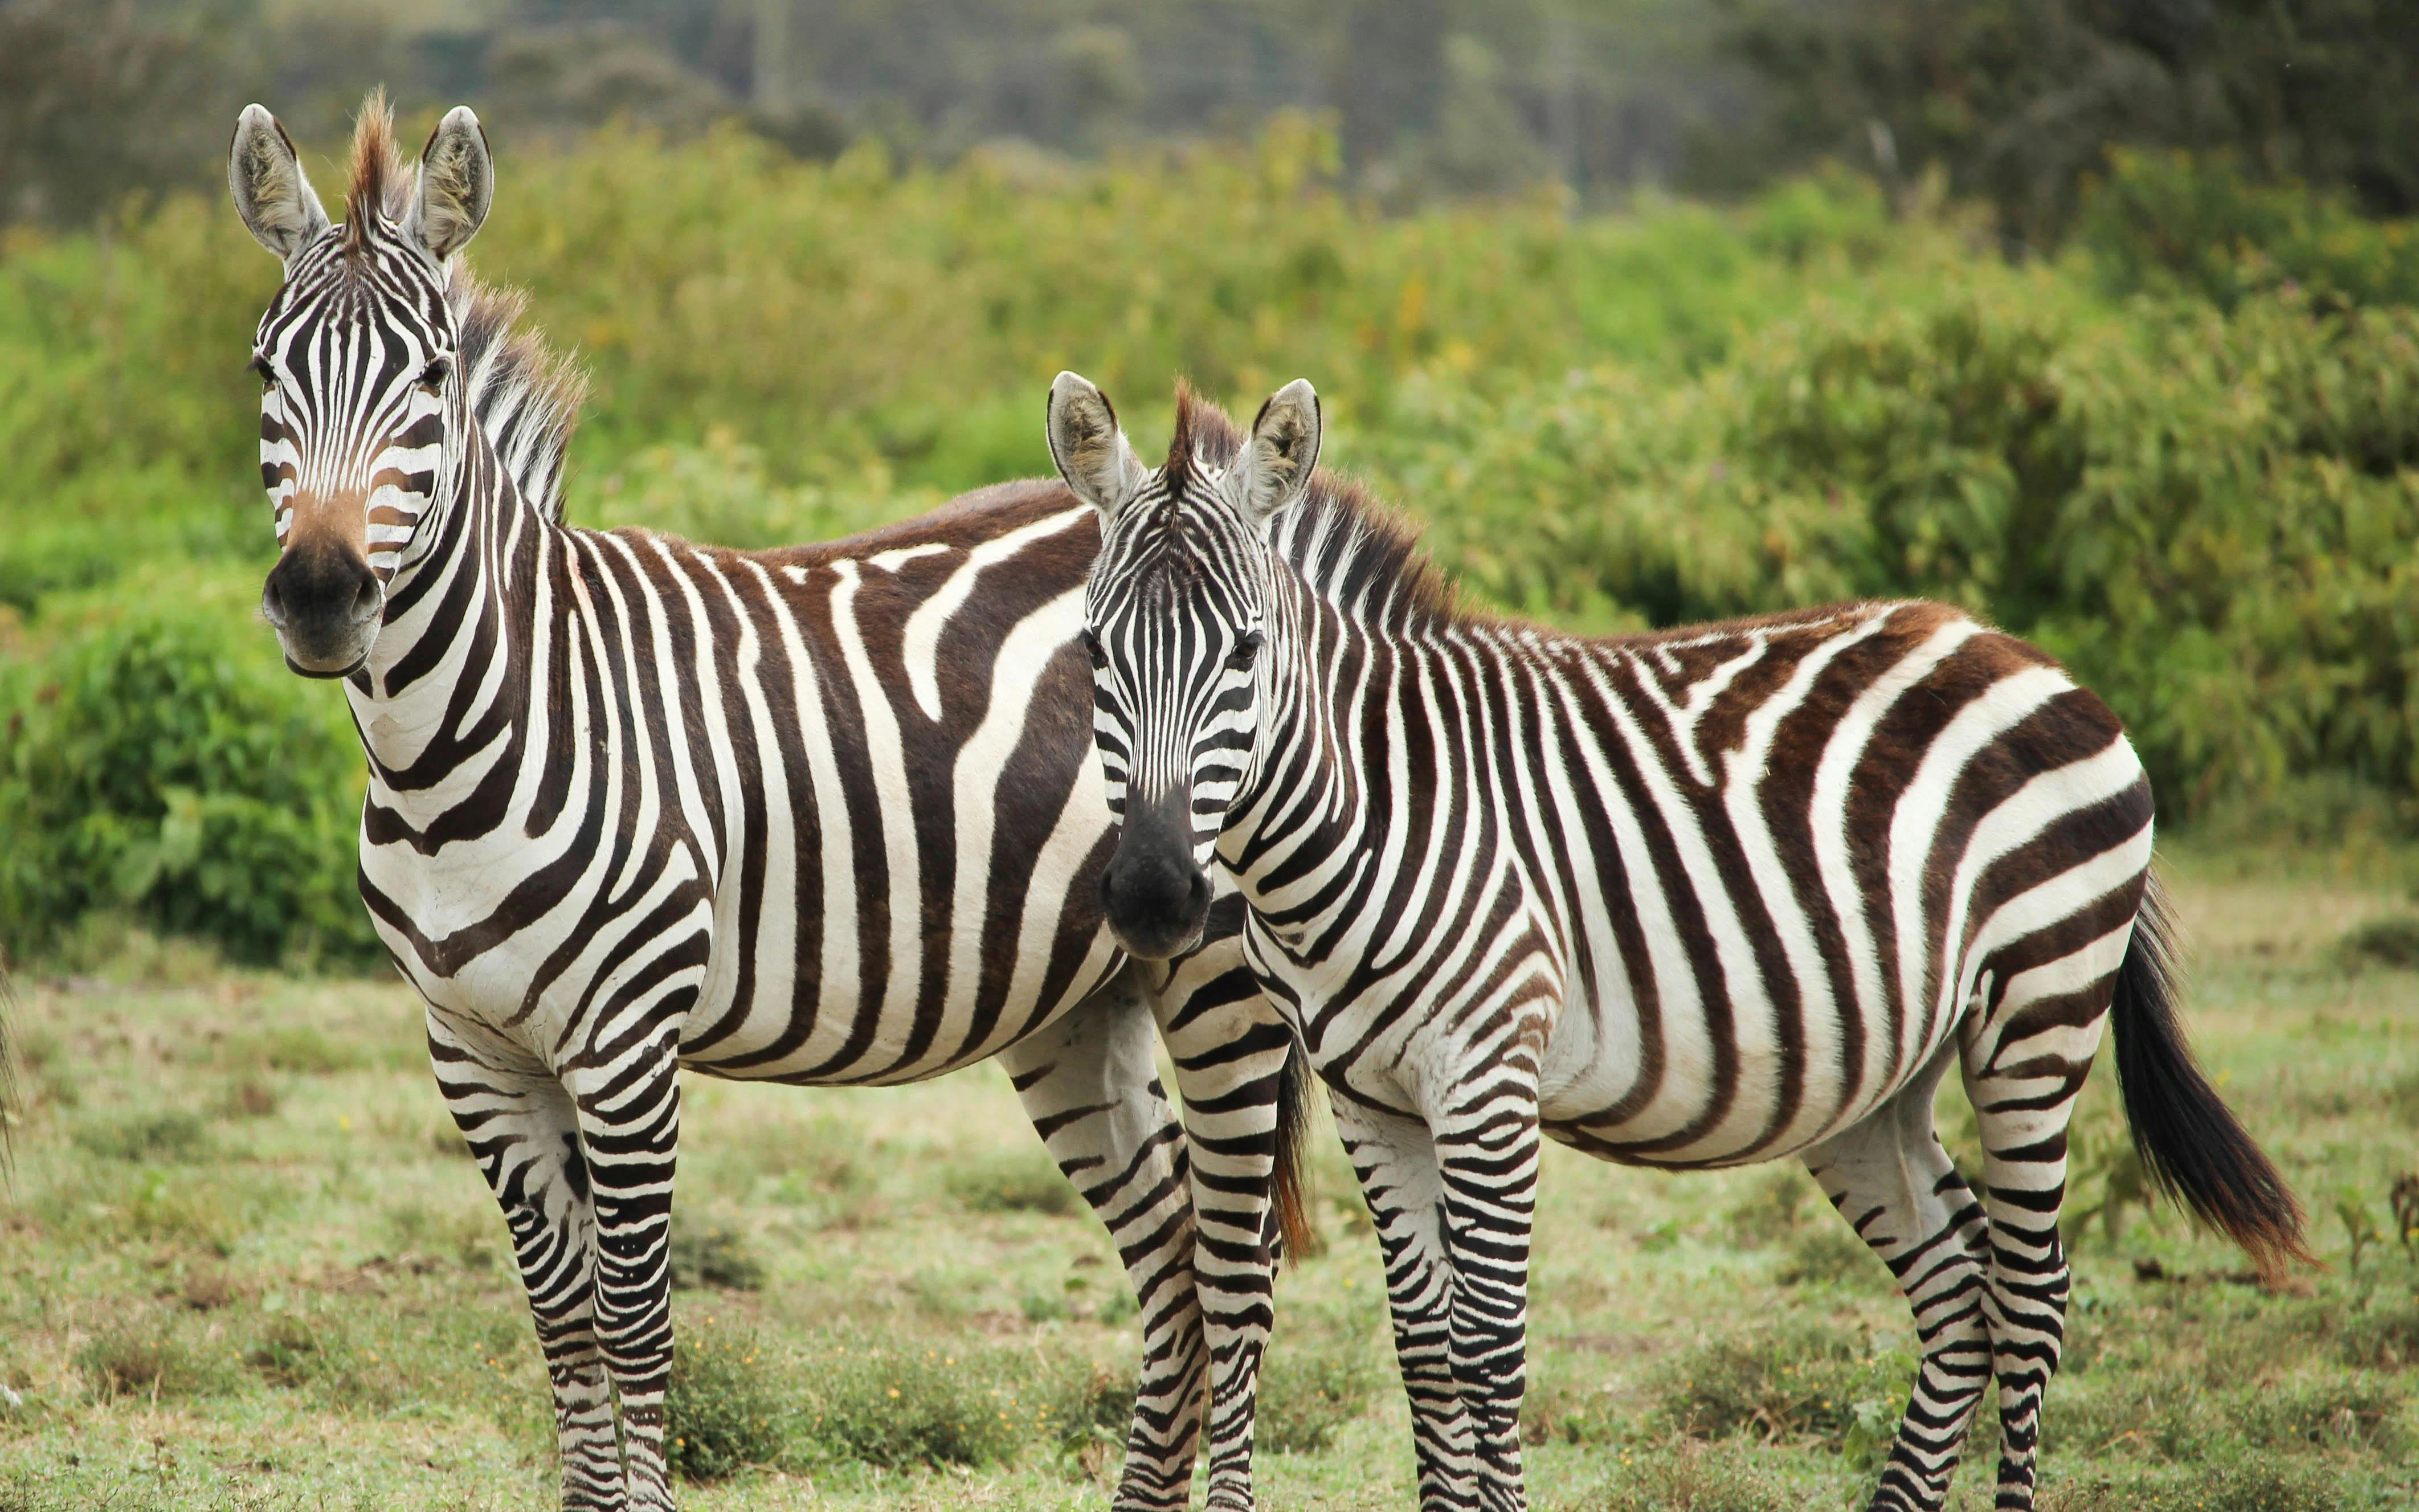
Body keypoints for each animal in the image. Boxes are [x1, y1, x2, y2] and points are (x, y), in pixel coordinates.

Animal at [225, 97, 1302, 1512]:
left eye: (432, 380)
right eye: (264, 374)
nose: (319, 595)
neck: (454, 744)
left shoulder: (626, 1041)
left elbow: (632, 1320)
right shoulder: (471, 1047)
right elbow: (559, 1319)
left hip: (1219, 979)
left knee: (1234, 1274)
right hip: (1082, 1003)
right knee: (1172, 1260)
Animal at [1047, 373, 2312, 1512]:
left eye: (1244, 651)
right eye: (1094, 654)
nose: (1153, 895)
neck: (1375, 804)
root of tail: (2019, 651)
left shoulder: (1490, 1076)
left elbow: (1487, 1348)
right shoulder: (1373, 1098)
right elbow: (1423, 1349)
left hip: (2037, 1006)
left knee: (2034, 1293)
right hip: (1873, 1074)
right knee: (1958, 1283)